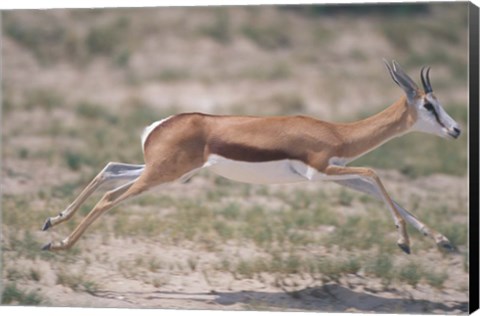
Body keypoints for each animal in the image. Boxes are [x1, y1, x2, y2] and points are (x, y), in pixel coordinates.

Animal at [41, 60, 462, 254]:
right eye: (429, 105)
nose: (456, 130)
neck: (338, 133)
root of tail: (160, 125)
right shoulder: (322, 171)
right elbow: (376, 173)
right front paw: (405, 243)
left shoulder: (339, 175)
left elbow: (380, 190)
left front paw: (440, 240)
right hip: (160, 175)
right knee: (109, 198)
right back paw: (59, 245)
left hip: (166, 172)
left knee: (111, 169)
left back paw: (51, 223)